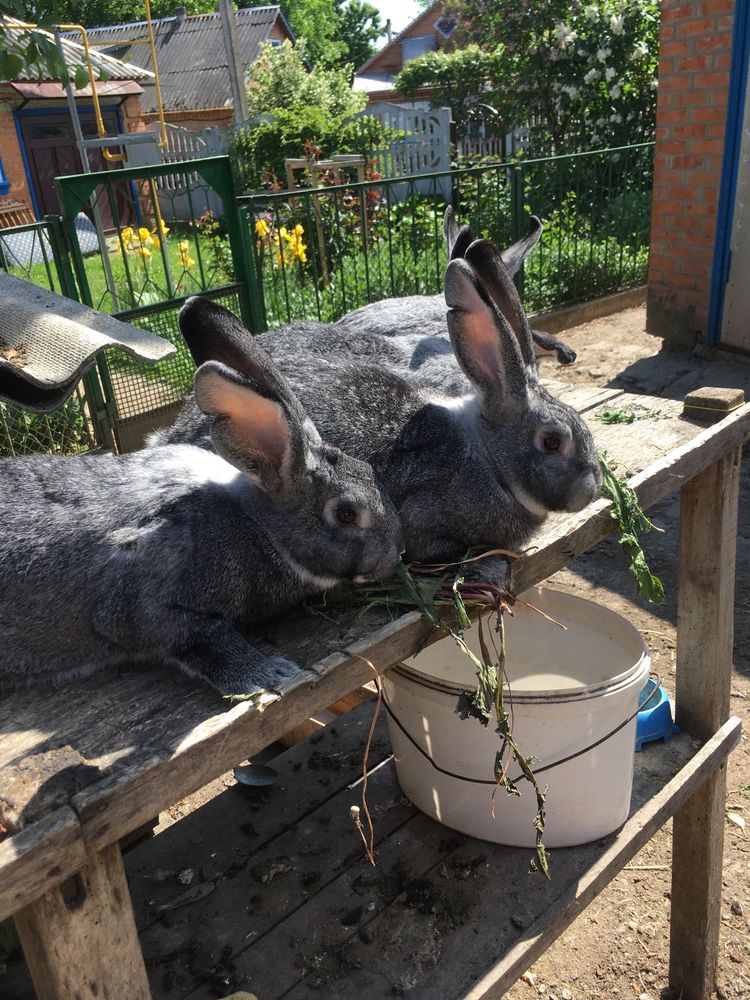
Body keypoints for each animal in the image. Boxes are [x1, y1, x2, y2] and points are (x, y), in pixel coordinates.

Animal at [0, 336, 406, 696]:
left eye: (369, 471)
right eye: (346, 513)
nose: (395, 556)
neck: (259, 525)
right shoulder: (149, 598)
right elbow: (198, 634)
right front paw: (268, 674)